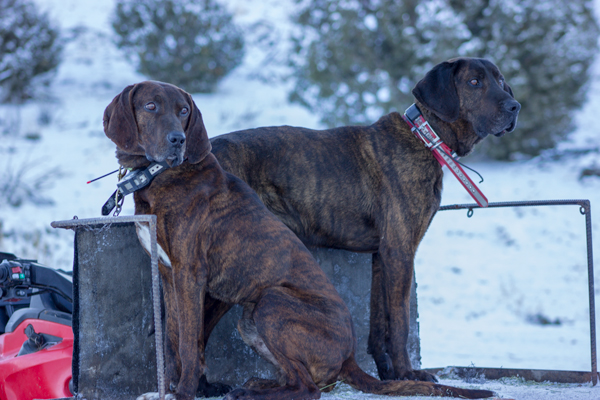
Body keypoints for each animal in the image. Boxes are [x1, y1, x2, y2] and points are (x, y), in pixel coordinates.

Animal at [103, 80, 496, 400]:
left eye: (183, 111)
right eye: (150, 106)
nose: (177, 140)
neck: (160, 176)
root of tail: (350, 358)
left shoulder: (189, 274)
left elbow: (187, 341)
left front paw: (182, 393)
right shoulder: (169, 274)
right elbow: (171, 341)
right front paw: (170, 389)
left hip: (271, 301)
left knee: (309, 388)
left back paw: (251, 391)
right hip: (251, 316)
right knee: (297, 380)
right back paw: (256, 385)